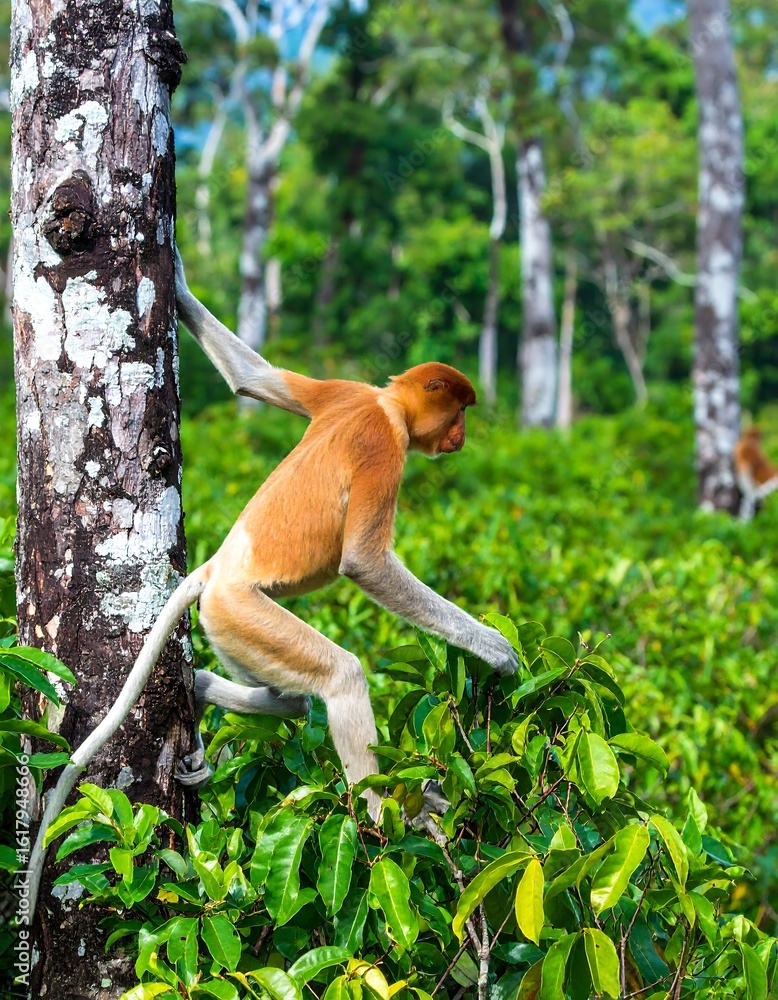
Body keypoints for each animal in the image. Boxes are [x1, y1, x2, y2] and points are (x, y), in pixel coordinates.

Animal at [25, 252, 518, 919]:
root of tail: (213, 570)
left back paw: (203, 692)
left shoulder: (342, 390)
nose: (461, 437)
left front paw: (180, 279)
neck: (386, 403)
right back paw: (384, 816)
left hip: (234, 630)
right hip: (240, 611)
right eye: (460, 411)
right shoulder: (382, 446)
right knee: (341, 679)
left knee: (292, 699)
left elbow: (255, 379)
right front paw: (494, 649)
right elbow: (365, 563)